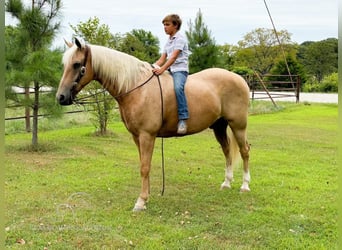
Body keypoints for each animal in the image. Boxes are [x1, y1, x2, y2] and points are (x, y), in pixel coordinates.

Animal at [56, 38, 251, 212]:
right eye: (65, 64)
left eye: (77, 64)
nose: (61, 97)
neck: (136, 88)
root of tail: (239, 79)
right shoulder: (137, 137)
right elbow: (144, 164)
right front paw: (146, 196)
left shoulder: (147, 135)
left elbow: (145, 167)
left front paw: (141, 201)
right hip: (219, 126)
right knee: (227, 150)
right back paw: (226, 182)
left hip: (238, 125)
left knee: (244, 151)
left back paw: (245, 186)